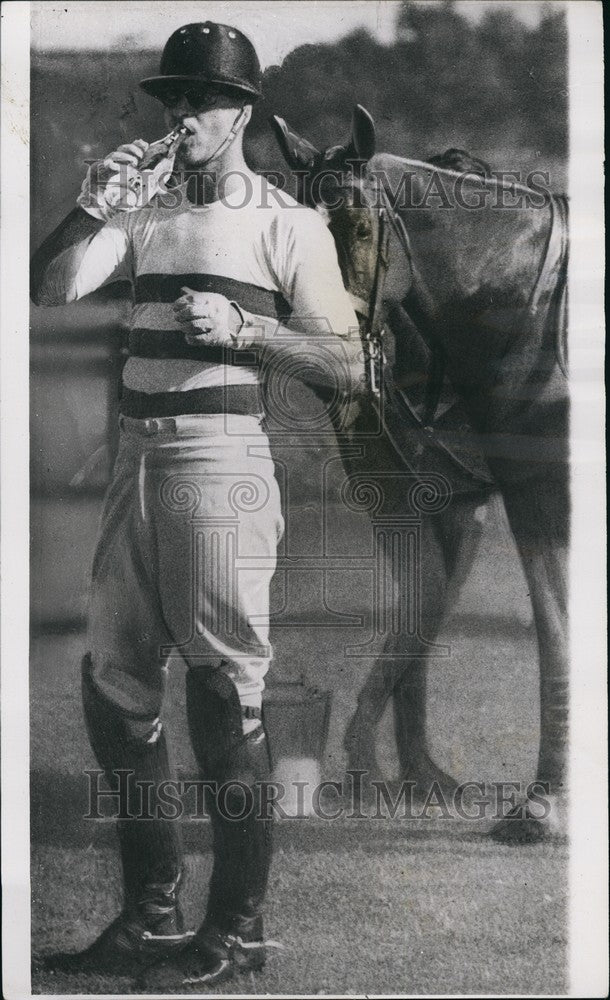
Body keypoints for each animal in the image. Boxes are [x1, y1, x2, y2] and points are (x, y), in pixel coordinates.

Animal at [270, 105, 564, 840]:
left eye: (360, 227)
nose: (328, 359)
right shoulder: (427, 499)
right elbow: (419, 612)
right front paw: (407, 775)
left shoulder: (519, 491)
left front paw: (536, 807)